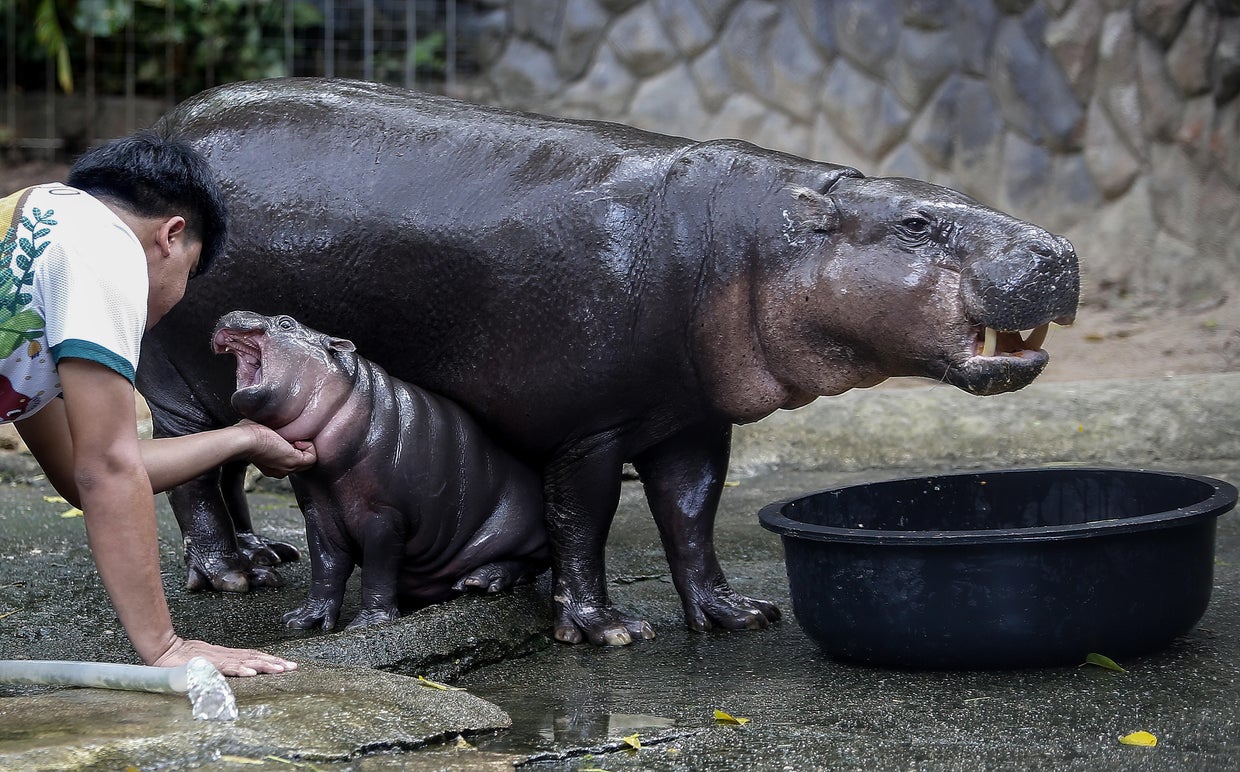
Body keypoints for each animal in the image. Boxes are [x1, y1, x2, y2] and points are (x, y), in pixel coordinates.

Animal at [212, 310, 549, 630]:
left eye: (286, 323)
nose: (232, 312)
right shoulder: (318, 512)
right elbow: (326, 566)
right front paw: (303, 619)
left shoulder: (384, 515)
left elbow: (378, 567)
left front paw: (368, 623)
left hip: (516, 529)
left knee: (529, 564)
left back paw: (480, 580)